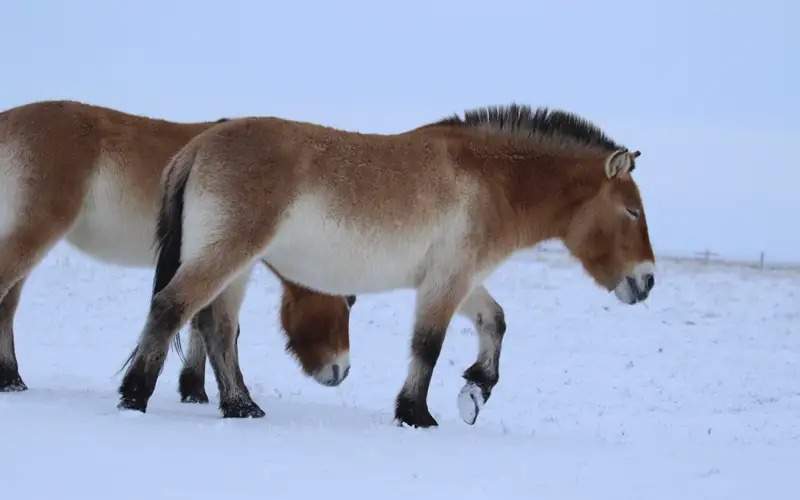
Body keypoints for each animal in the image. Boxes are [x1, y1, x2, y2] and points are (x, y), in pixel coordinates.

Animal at [0, 100, 354, 414]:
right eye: (347, 302)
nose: (341, 371)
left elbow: (199, 321)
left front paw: (194, 390)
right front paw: (201, 389)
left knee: (8, 306)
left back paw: (11, 379)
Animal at [120, 104, 656, 426]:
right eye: (632, 211)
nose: (647, 280)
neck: (493, 180)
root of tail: (197, 147)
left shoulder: (457, 278)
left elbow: (495, 322)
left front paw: (475, 392)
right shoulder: (447, 282)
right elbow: (428, 346)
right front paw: (416, 413)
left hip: (237, 264)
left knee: (217, 327)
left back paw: (242, 406)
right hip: (226, 255)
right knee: (172, 308)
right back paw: (135, 396)